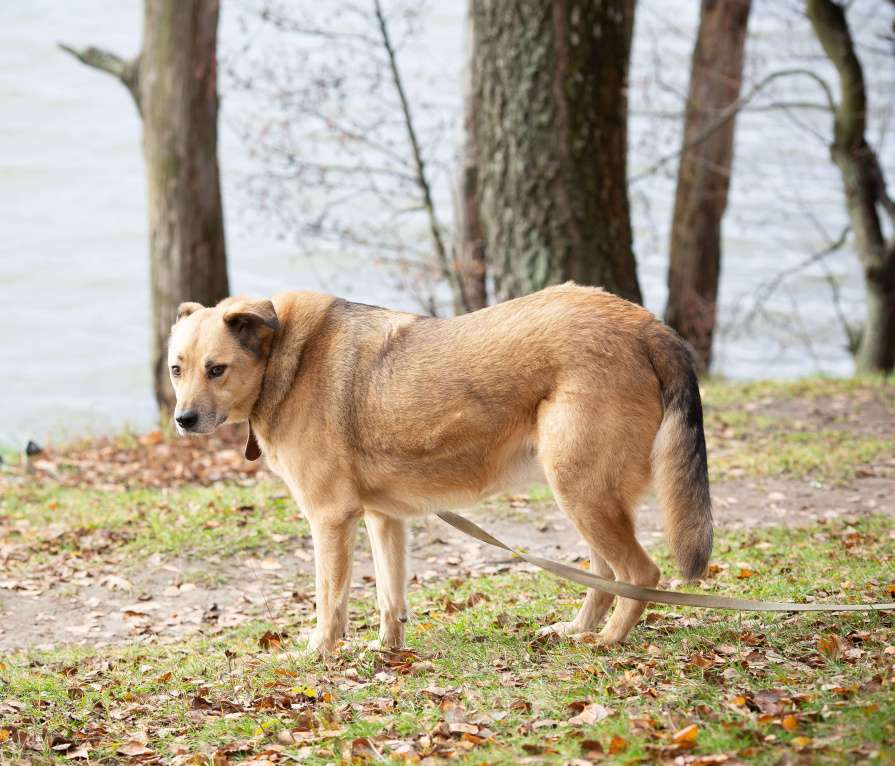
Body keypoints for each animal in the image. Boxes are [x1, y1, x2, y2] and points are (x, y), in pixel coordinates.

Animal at [168, 282, 712, 656]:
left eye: (216, 369)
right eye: (177, 369)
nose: (182, 420)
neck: (283, 357)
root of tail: (646, 324)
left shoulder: (330, 518)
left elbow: (330, 599)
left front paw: (319, 652)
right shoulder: (382, 519)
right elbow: (390, 597)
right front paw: (385, 651)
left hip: (581, 490)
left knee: (641, 573)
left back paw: (608, 641)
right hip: (585, 494)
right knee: (607, 574)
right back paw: (579, 629)